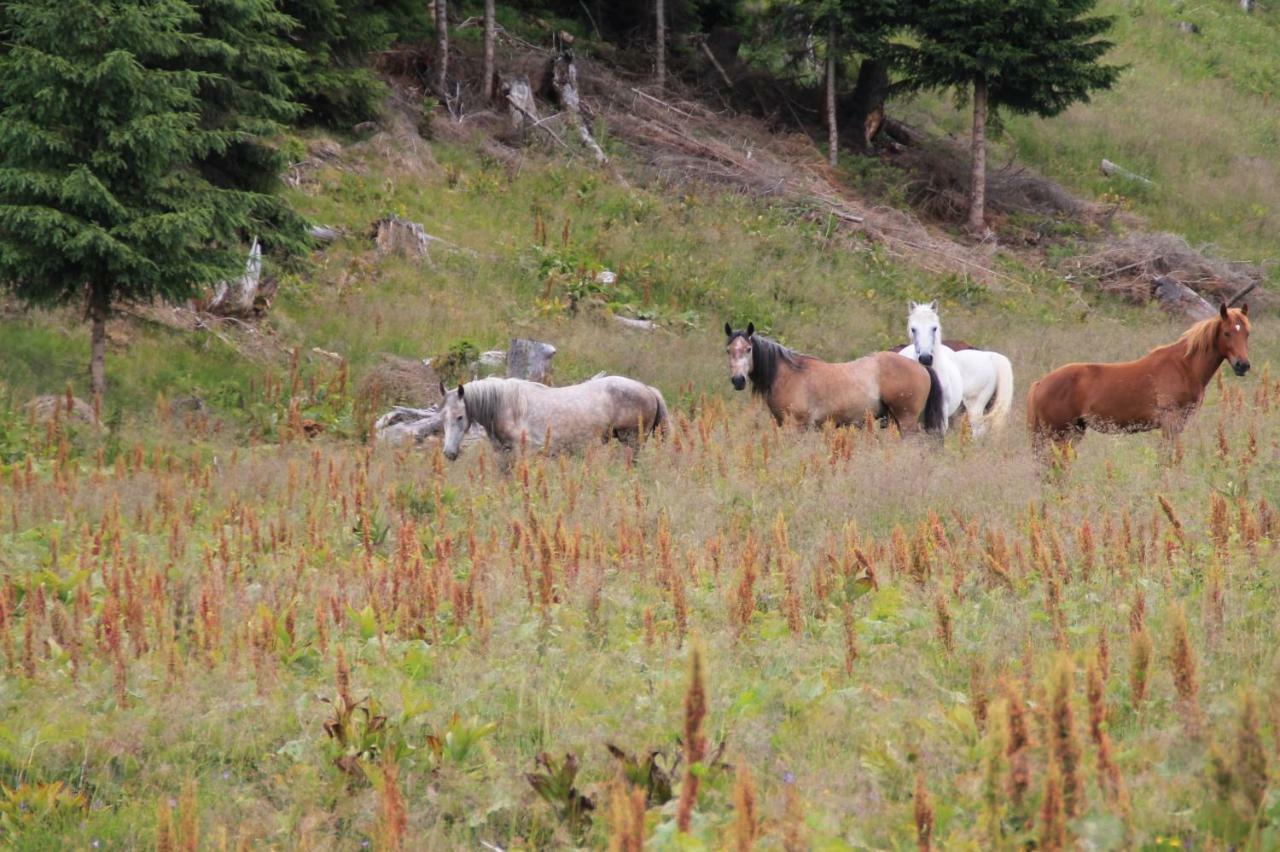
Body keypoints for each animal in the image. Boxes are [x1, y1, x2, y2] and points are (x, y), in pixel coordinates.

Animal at [440, 376, 670, 460]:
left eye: (460, 417)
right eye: (442, 418)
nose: (449, 453)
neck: (507, 406)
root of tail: (648, 389)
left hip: (632, 441)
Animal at [721, 322, 952, 434]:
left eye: (749, 349)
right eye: (729, 350)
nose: (738, 380)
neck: (789, 374)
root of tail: (921, 367)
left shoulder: (795, 426)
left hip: (906, 420)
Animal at [1024, 303, 1254, 455]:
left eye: (1247, 333)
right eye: (1226, 333)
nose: (1242, 365)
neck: (1184, 366)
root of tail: (1039, 384)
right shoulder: (1170, 423)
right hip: (1060, 435)